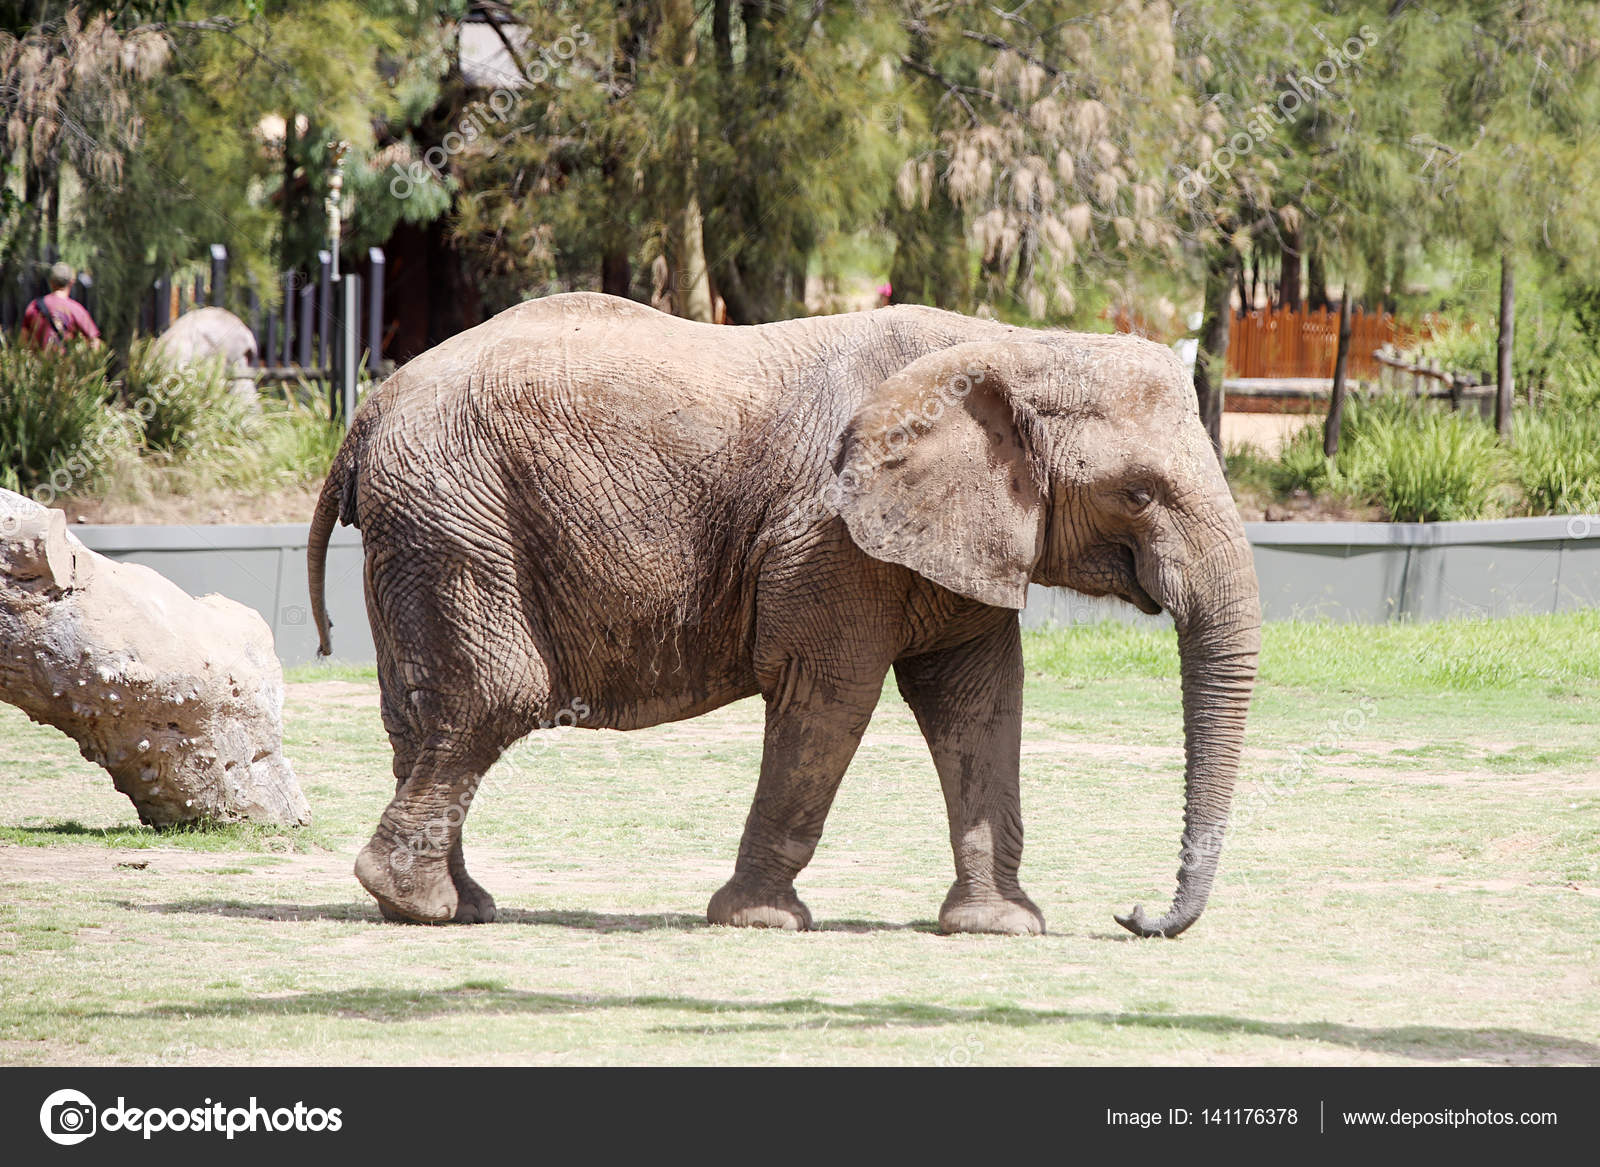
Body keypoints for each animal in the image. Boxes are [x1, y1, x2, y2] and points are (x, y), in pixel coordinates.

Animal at [307, 292, 1260, 938]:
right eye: (1138, 493)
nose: (1132, 912)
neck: (1018, 345)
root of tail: (366, 412)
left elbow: (980, 701)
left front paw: (999, 928)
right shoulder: (829, 534)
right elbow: (829, 694)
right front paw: (762, 920)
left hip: (428, 525)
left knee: (421, 711)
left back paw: (454, 905)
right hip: (455, 513)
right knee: (494, 696)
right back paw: (420, 902)